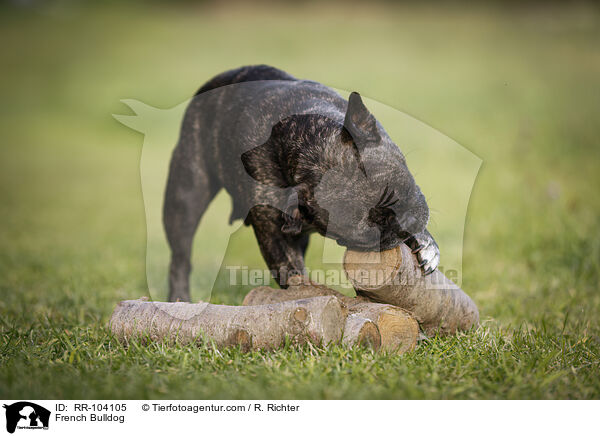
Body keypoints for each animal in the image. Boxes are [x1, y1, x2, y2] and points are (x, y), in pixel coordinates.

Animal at [162, 64, 438, 302]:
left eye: (403, 188)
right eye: (367, 235)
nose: (404, 224)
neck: (310, 150)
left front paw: (426, 244)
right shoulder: (274, 235)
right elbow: (291, 270)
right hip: (186, 195)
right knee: (180, 256)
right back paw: (179, 299)